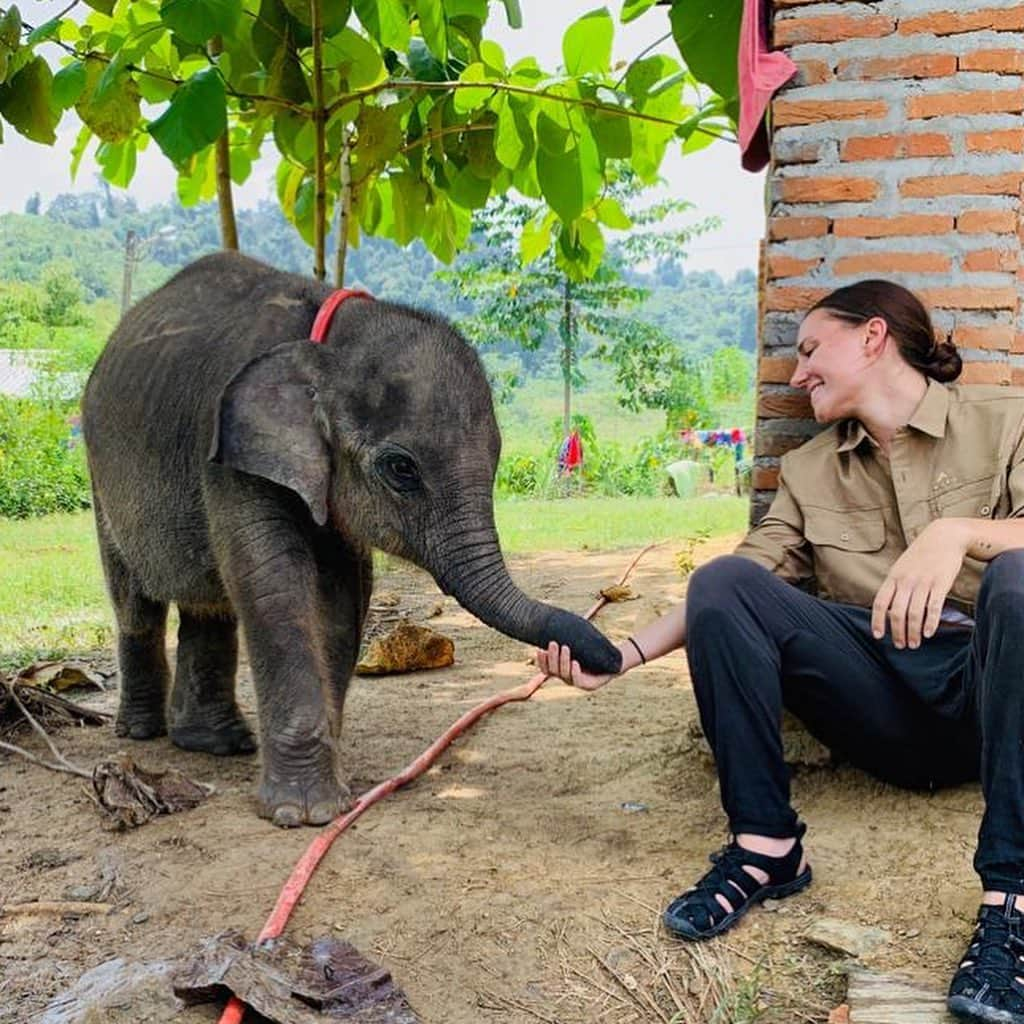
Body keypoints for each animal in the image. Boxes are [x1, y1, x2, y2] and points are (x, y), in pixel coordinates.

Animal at [79, 251, 618, 827]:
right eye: (401, 469)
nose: (606, 654)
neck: (330, 341)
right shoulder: (229, 458)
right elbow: (275, 585)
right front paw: (306, 814)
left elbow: (342, 595)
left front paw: (331, 789)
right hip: (99, 480)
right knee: (135, 601)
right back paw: (142, 732)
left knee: (209, 607)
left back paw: (216, 743)